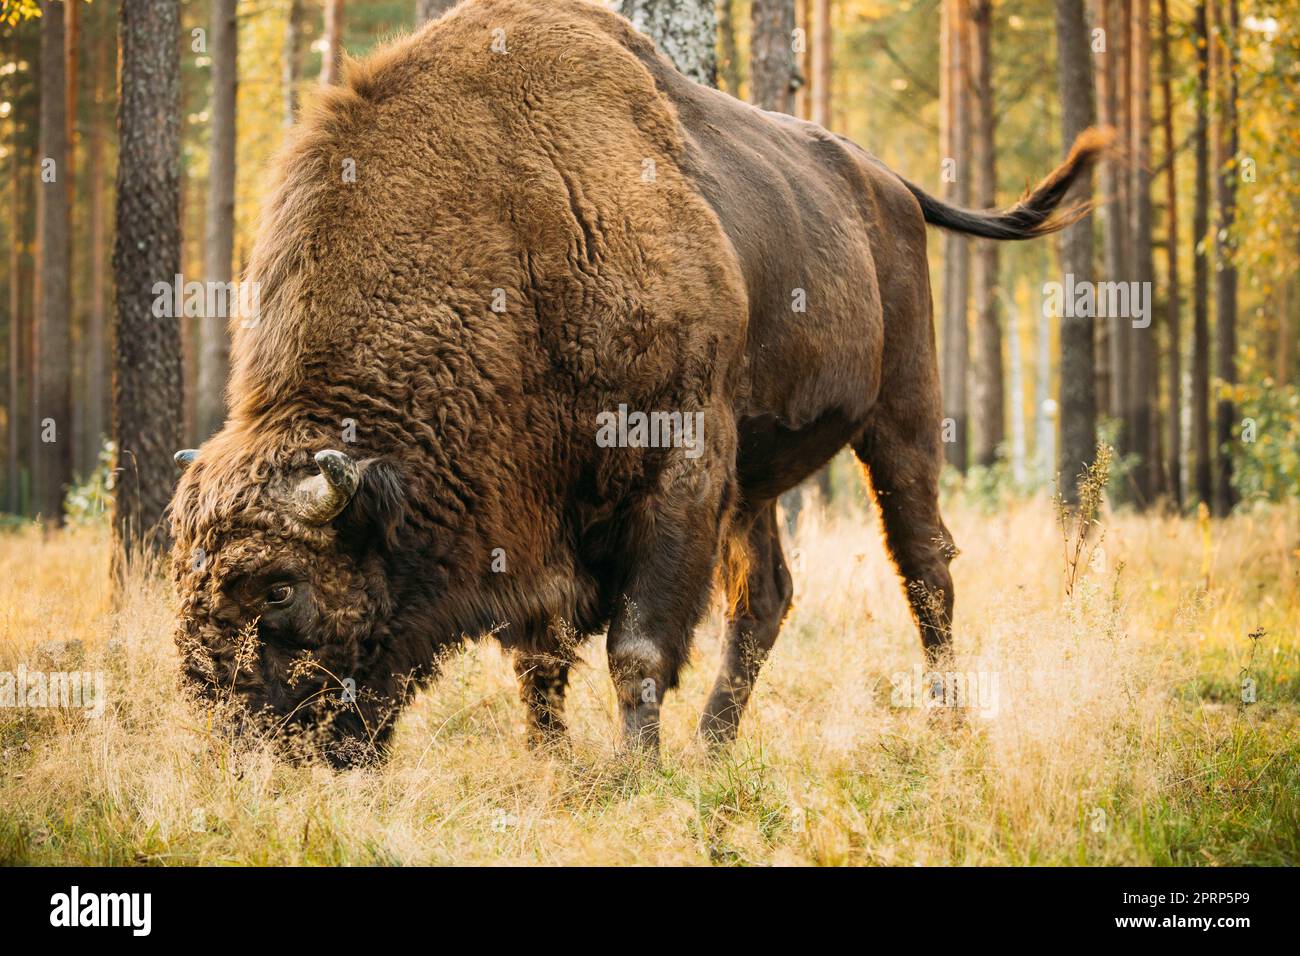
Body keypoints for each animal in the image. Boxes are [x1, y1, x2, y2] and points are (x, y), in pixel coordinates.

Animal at [170, 0, 1107, 764]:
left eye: (281, 586)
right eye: (186, 577)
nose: (239, 742)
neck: (512, 239)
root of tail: (888, 184)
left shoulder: (677, 464)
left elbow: (639, 647)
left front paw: (633, 771)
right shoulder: (537, 510)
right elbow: (539, 657)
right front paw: (552, 761)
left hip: (902, 419)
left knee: (924, 567)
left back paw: (943, 722)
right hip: (757, 473)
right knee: (766, 596)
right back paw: (715, 746)